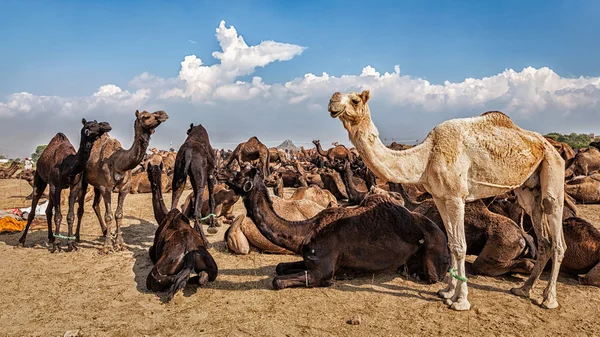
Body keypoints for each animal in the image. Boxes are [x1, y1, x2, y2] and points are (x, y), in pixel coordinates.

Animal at [17, 119, 112, 251]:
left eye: (97, 122)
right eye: (91, 125)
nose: (106, 124)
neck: (67, 166)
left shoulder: (74, 186)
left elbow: (70, 216)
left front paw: (70, 244)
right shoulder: (55, 186)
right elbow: (58, 216)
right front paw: (57, 245)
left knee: (48, 210)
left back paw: (51, 237)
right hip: (40, 179)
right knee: (33, 211)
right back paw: (22, 241)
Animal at [76, 109, 169, 252]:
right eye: (145, 116)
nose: (162, 114)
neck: (118, 162)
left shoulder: (125, 188)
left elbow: (119, 214)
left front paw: (119, 244)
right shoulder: (106, 188)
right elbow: (108, 216)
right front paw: (107, 247)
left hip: (96, 186)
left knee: (95, 204)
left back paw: (104, 231)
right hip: (85, 181)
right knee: (81, 207)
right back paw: (77, 237)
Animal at [147, 161, 218, 300]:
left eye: (148, 172)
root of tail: (189, 254)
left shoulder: (153, 250)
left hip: (160, 269)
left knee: (161, 279)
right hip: (212, 266)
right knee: (203, 277)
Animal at [223, 165, 448, 288]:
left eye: (240, 174)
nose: (221, 173)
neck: (306, 232)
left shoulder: (321, 270)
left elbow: (277, 281)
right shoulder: (308, 259)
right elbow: (280, 267)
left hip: (434, 253)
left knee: (433, 276)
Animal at [328, 89, 568, 310]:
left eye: (355, 100)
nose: (332, 101)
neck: (426, 157)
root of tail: (549, 146)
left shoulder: (456, 197)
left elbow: (461, 246)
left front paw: (461, 301)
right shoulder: (440, 197)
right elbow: (452, 244)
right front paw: (447, 292)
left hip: (553, 168)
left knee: (557, 234)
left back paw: (549, 299)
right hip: (529, 190)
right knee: (543, 236)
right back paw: (523, 289)